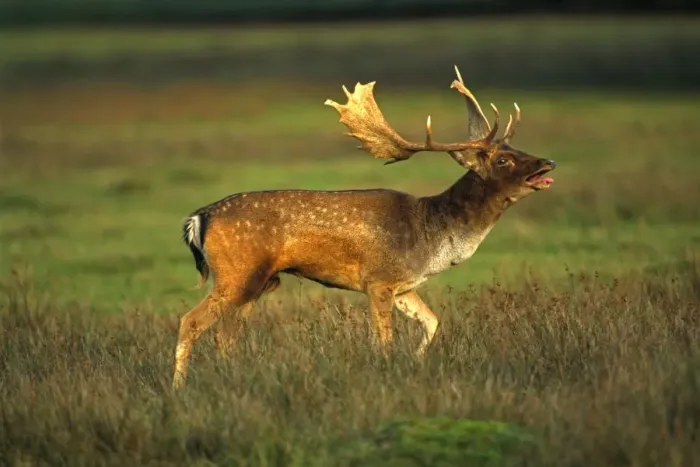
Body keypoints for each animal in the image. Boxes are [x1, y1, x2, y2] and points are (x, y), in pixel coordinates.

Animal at [172, 66, 555, 389]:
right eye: (503, 160)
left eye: (515, 147)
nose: (547, 161)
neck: (431, 234)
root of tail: (199, 217)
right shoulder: (378, 280)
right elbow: (384, 342)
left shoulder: (403, 285)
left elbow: (432, 322)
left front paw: (417, 361)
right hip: (237, 273)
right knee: (191, 322)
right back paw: (178, 389)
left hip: (260, 282)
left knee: (225, 335)